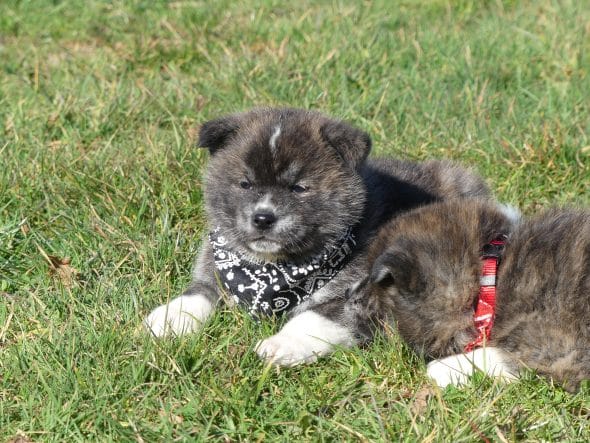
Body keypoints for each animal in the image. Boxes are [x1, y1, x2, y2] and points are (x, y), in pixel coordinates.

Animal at [146, 108, 492, 368]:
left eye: (299, 187)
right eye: (245, 183)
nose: (263, 217)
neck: (272, 269)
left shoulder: (364, 301)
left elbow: (313, 319)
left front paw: (280, 344)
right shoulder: (217, 270)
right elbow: (198, 294)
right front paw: (166, 320)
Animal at [352, 199, 590, 394]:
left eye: (378, 284)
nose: (349, 292)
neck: (492, 279)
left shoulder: (559, 353)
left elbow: (496, 355)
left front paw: (442, 368)